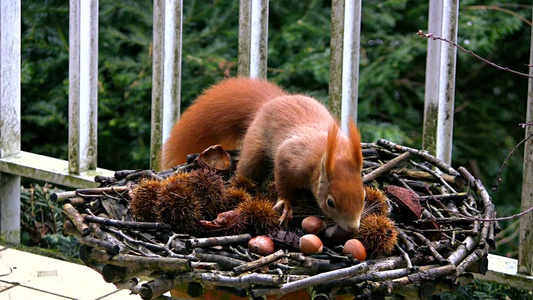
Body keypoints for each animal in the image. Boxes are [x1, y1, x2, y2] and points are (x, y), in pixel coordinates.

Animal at [160, 78, 364, 232]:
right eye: (330, 202)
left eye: (363, 196)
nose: (353, 227)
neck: (330, 153)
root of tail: (268, 103)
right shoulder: (291, 159)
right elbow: (282, 180)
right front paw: (286, 204)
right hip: (253, 150)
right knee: (246, 167)